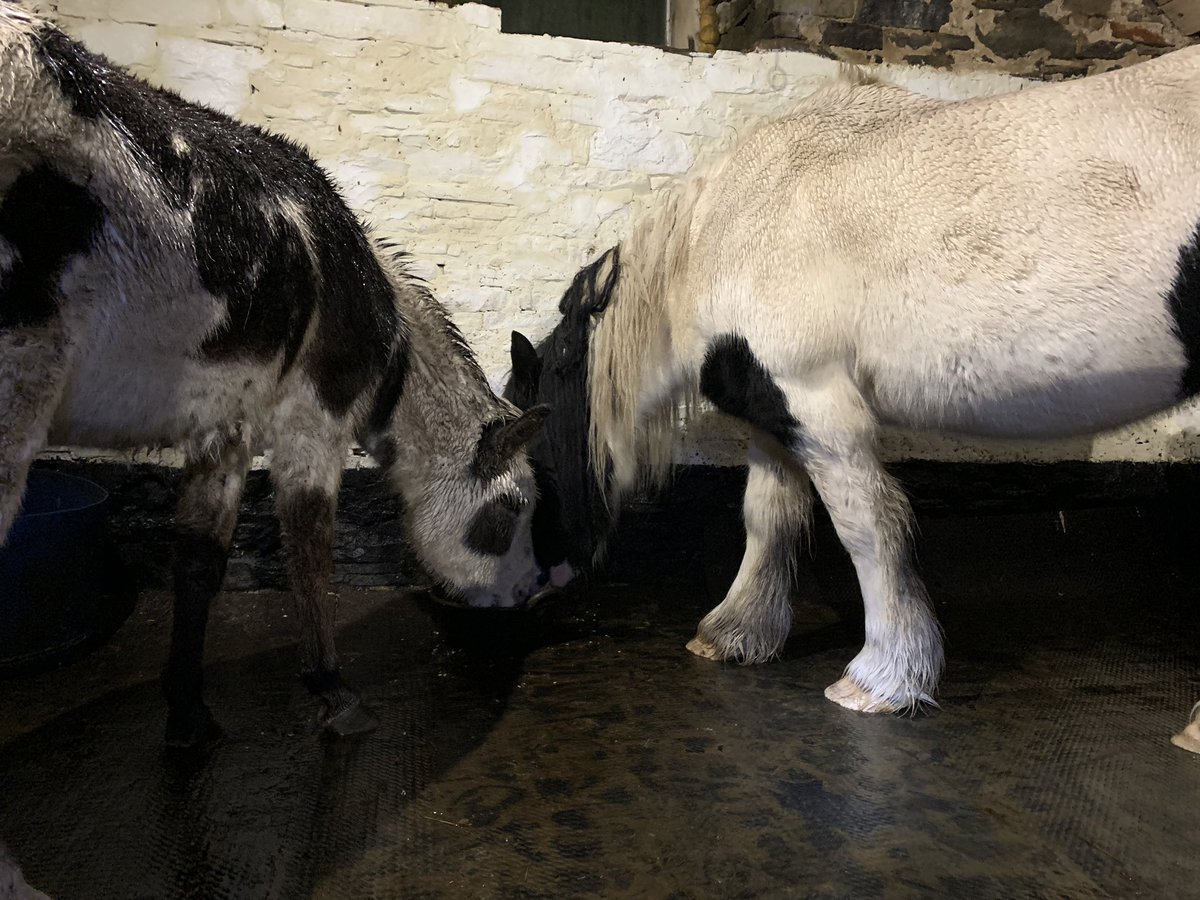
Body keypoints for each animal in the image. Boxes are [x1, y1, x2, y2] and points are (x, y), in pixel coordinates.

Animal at [0, 7, 555, 748]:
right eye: (516, 506)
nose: (530, 593)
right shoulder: (312, 418)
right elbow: (310, 544)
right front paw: (334, 690)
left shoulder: (223, 424)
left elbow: (201, 560)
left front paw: (188, 715)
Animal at [505, 53, 1200, 751]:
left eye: (526, 465)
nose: (520, 597)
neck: (730, 231)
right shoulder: (775, 411)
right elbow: (768, 517)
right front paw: (735, 634)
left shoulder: (817, 401)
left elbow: (868, 527)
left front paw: (884, 677)